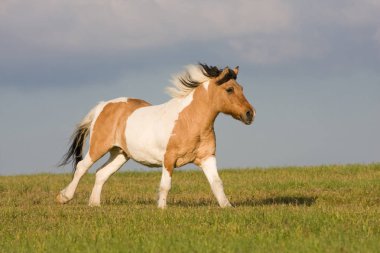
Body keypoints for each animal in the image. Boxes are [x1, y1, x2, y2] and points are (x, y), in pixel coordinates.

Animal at [57, 64, 255, 209]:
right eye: (229, 89)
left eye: (242, 88)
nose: (250, 114)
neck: (189, 120)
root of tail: (103, 105)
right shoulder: (169, 159)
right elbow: (165, 185)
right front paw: (161, 209)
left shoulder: (207, 157)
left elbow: (217, 183)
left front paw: (227, 207)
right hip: (99, 147)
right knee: (82, 167)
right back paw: (64, 197)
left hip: (120, 153)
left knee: (101, 173)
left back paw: (94, 204)